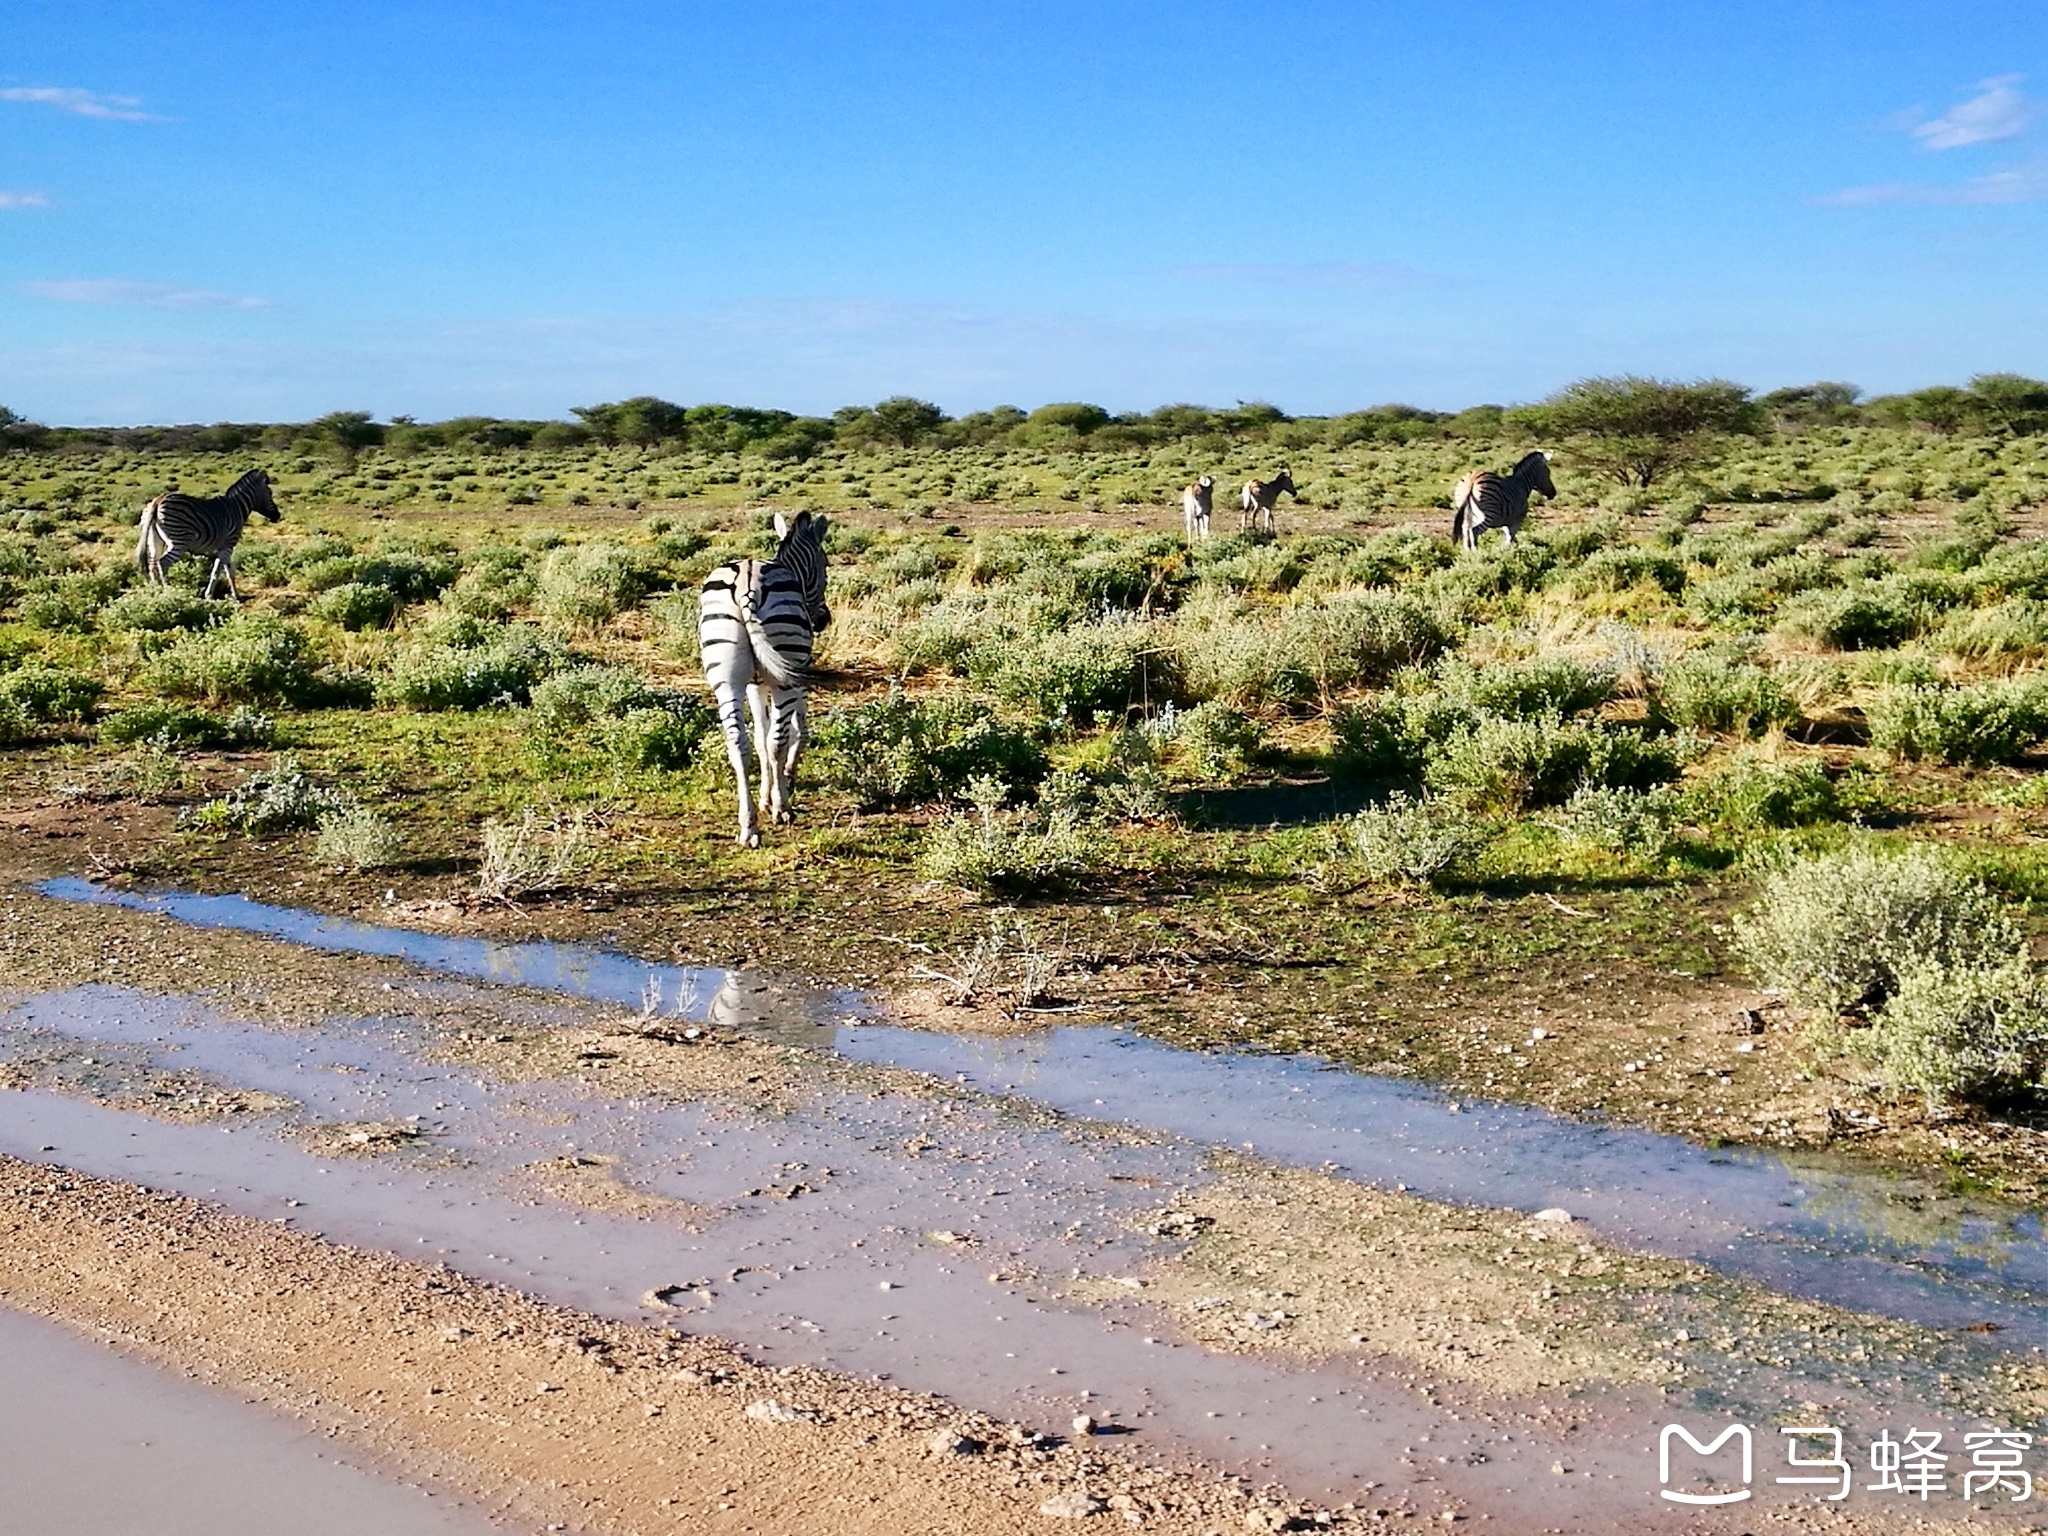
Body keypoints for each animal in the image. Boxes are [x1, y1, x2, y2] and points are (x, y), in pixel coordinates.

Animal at [136, 468, 284, 602]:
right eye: (269, 493)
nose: (277, 516)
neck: (237, 507)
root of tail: (158, 500)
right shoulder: (228, 544)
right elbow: (221, 571)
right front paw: (222, 596)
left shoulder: (222, 547)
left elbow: (225, 570)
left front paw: (229, 595)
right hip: (179, 541)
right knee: (163, 563)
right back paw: (169, 594)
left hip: (155, 540)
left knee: (152, 565)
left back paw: (156, 592)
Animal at [696, 512, 831, 847]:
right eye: (825, 566)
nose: (824, 620)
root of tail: (746, 582)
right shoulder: (793, 677)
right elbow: (794, 732)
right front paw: (781, 788)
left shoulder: (753, 686)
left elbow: (759, 738)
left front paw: (765, 796)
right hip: (784, 675)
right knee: (776, 741)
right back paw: (781, 810)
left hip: (725, 678)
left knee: (738, 744)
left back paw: (748, 826)